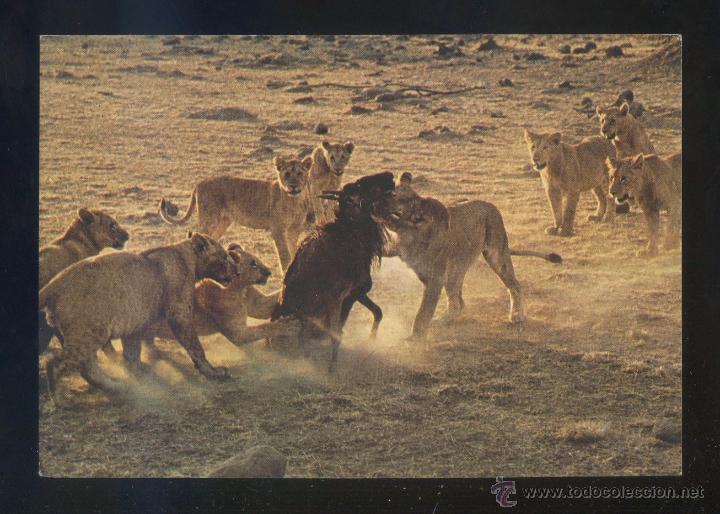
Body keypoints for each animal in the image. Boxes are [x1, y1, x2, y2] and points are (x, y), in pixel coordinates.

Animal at [39, 232, 236, 404]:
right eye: (225, 257)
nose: (237, 273)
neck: (188, 256)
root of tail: (53, 284)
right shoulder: (179, 313)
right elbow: (195, 346)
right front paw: (212, 372)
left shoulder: (134, 324)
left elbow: (132, 352)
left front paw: (139, 372)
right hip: (90, 333)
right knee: (56, 364)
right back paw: (60, 399)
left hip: (87, 334)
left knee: (88, 368)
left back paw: (116, 387)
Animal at [159, 155, 313, 271]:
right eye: (287, 174)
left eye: (300, 173)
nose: (293, 186)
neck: (294, 200)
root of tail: (200, 182)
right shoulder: (277, 229)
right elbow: (284, 254)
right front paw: (286, 273)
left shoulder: (294, 229)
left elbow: (293, 249)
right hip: (209, 219)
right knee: (196, 237)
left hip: (223, 222)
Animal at [379, 173, 562, 339]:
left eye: (397, 198)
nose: (376, 202)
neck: (407, 234)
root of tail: (490, 205)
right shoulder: (395, 248)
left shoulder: (436, 278)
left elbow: (423, 312)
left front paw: (415, 338)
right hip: (456, 269)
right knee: (457, 300)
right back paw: (447, 318)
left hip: (496, 254)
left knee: (515, 285)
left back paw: (517, 316)